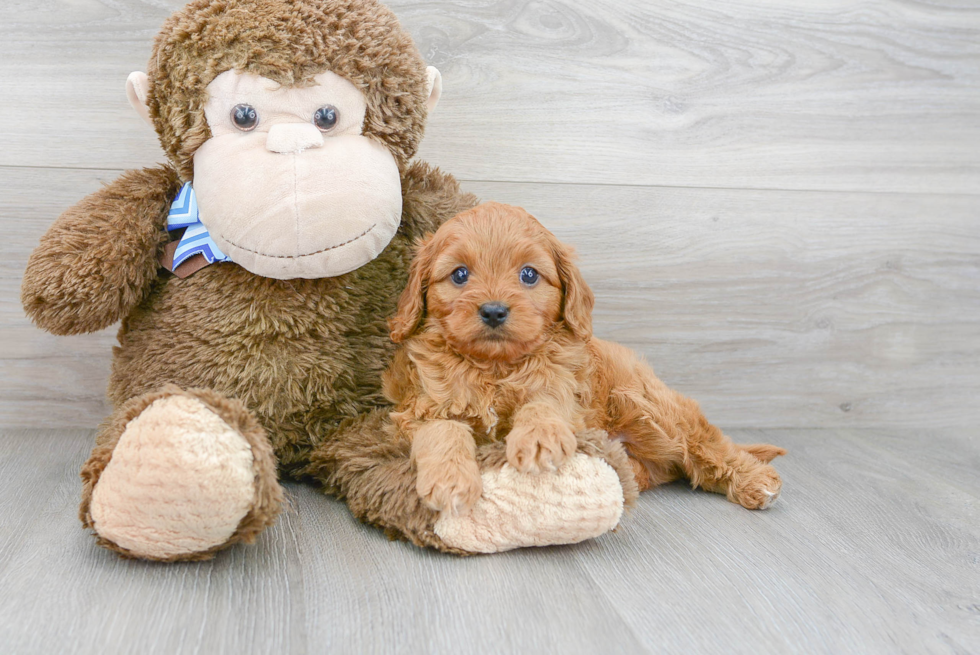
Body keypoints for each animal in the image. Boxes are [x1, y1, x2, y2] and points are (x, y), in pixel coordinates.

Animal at [386, 202, 784, 516]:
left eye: (528, 274)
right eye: (460, 274)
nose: (494, 311)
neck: (495, 367)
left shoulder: (565, 386)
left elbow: (543, 403)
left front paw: (539, 439)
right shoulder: (424, 406)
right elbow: (443, 432)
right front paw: (450, 480)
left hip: (651, 407)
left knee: (706, 446)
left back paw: (755, 480)